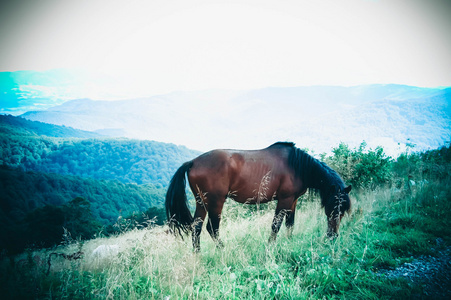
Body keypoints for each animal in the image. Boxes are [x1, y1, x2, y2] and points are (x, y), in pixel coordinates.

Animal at [166, 142, 354, 251]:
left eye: (343, 211)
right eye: (333, 208)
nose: (332, 236)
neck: (297, 166)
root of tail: (192, 162)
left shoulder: (293, 201)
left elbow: (290, 224)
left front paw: (289, 242)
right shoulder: (285, 199)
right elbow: (276, 225)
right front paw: (270, 245)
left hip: (201, 203)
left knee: (196, 228)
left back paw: (197, 254)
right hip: (215, 203)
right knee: (212, 229)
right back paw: (223, 249)